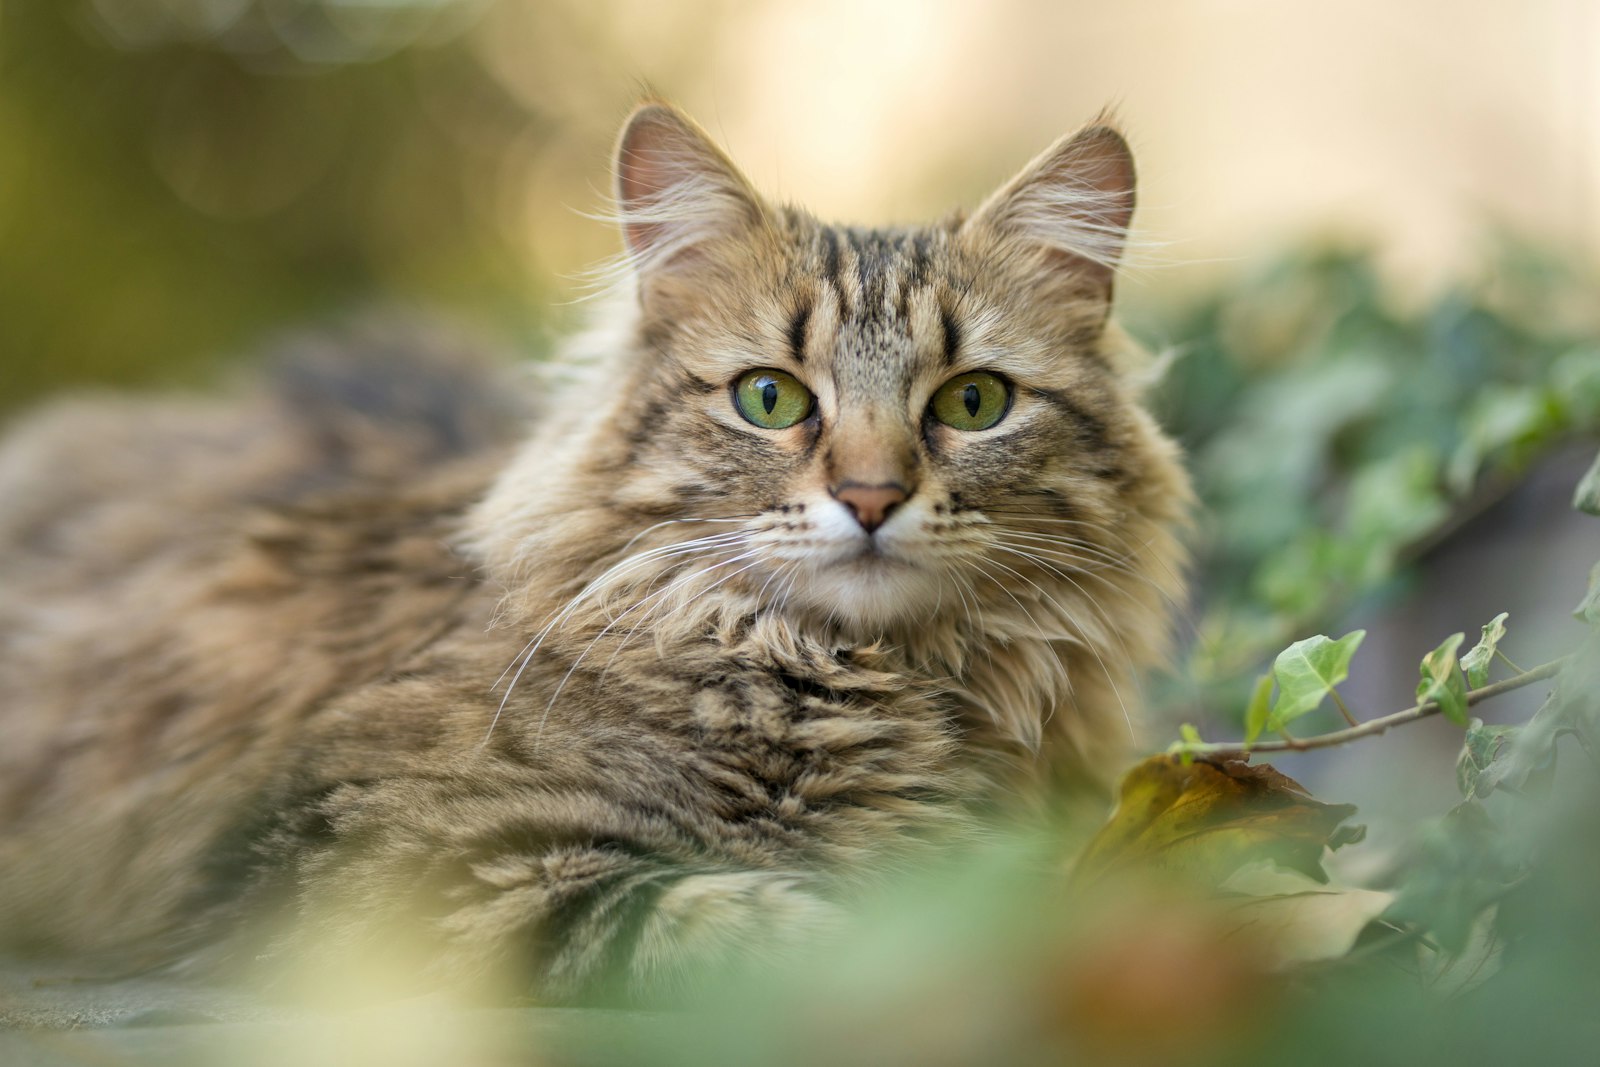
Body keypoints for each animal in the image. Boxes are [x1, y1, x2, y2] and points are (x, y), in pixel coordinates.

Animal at [0, 103, 1190, 1004]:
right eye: (771, 398)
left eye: (972, 402)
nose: (869, 495)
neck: (861, 676)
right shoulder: (371, 845)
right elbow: (727, 920)